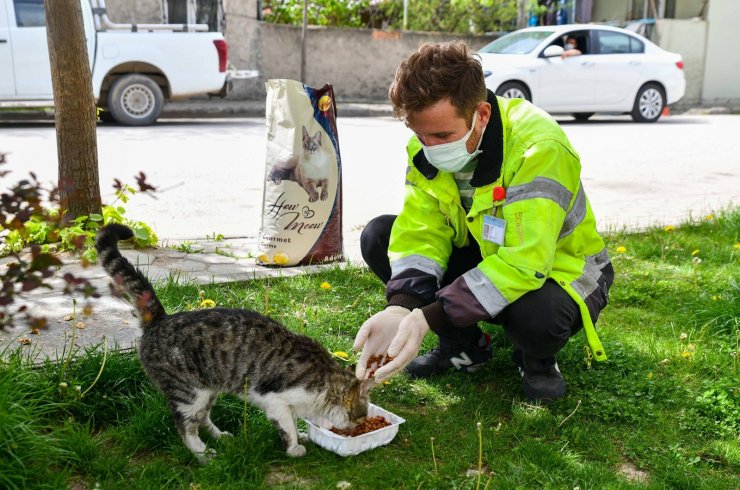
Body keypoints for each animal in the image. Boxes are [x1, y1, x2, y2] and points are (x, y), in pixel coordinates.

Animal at [97, 225, 376, 464]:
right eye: (362, 416)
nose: (358, 427)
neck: (324, 385)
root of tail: (159, 319)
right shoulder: (275, 400)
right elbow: (288, 426)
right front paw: (294, 447)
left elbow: (293, 424)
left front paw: (301, 437)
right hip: (189, 393)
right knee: (185, 426)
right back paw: (202, 453)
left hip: (208, 390)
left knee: (202, 418)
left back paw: (220, 437)